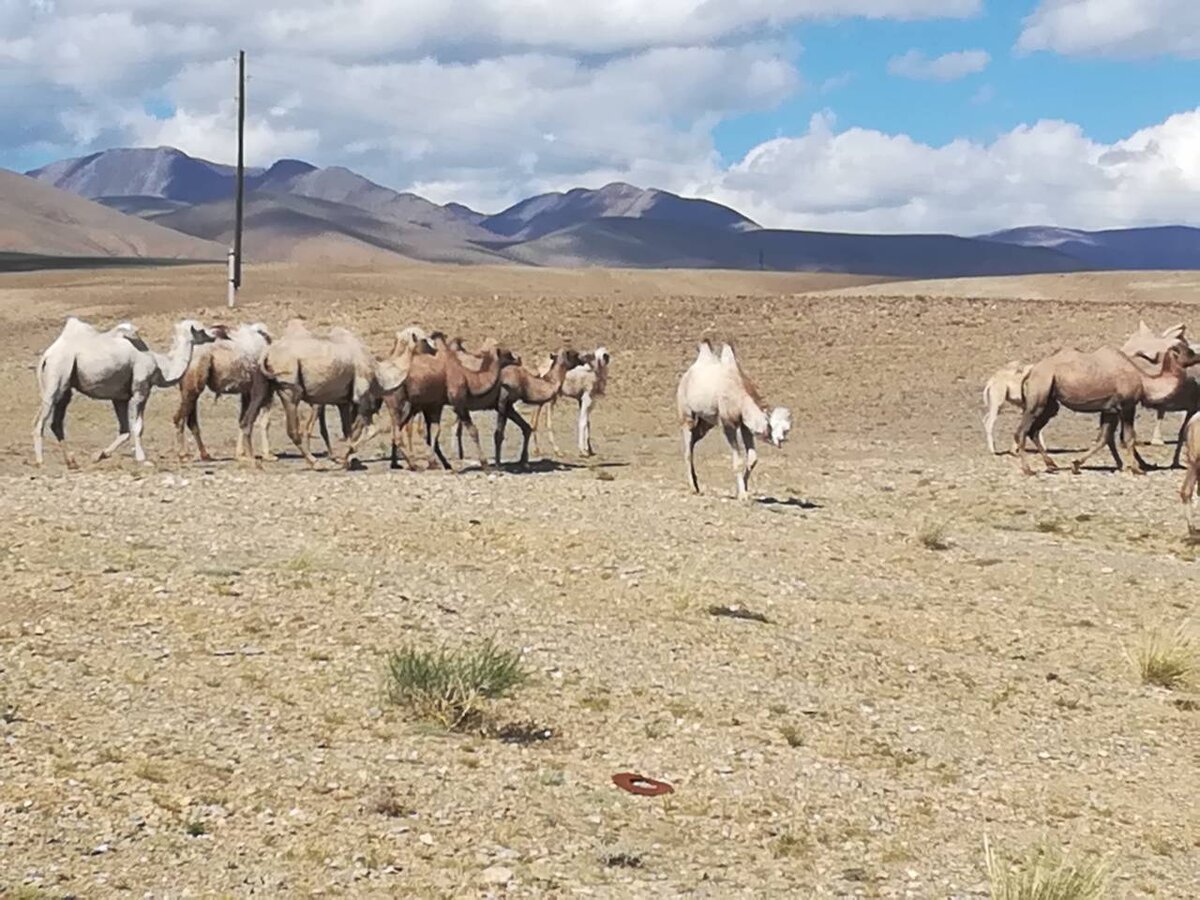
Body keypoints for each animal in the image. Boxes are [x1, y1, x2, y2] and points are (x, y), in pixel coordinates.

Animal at [35, 316, 222, 468]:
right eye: (201, 329)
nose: (215, 333)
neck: (160, 366)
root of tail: (47, 356)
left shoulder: (120, 398)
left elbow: (124, 430)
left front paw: (100, 455)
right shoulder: (141, 389)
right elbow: (137, 426)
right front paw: (142, 458)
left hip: (66, 388)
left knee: (56, 423)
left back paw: (71, 462)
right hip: (56, 375)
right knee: (40, 421)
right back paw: (40, 461)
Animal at [384, 333, 516, 472]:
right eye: (508, 353)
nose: (518, 359)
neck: (468, 378)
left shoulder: (436, 404)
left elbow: (435, 431)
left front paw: (435, 463)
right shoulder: (458, 403)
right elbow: (473, 430)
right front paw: (485, 465)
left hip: (409, 405)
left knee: (398, 428)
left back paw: (404, 464)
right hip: (396, 402)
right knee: (397, 431)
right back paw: (413, 465)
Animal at [681, 340, 792, 504]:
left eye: (786, 429)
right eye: (772, 427)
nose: (780, 440)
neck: (740, 397)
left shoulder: (745, 426)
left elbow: (752, 459)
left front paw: (742, 490)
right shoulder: (729, 425)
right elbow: (738, 460)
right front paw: (743, 495)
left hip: (705, 423)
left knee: (694, 442)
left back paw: (697, 484)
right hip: (687, 416)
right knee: (688, 450)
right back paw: (693, 488)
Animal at [1012, 340, 1200, 475]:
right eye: (1189, 352)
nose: (1198, 355)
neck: (1144, 382)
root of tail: (1031, 372)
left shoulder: (1109, 410)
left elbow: (1103, 438)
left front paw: (1076, 464)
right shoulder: (1127, 405)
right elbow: (1129, 437)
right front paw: (1137, 469)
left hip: (1050, 403)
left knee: (1034, 431)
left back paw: (1051, 465)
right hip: (1039, 395)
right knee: (1022, 431)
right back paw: (1028, 470)